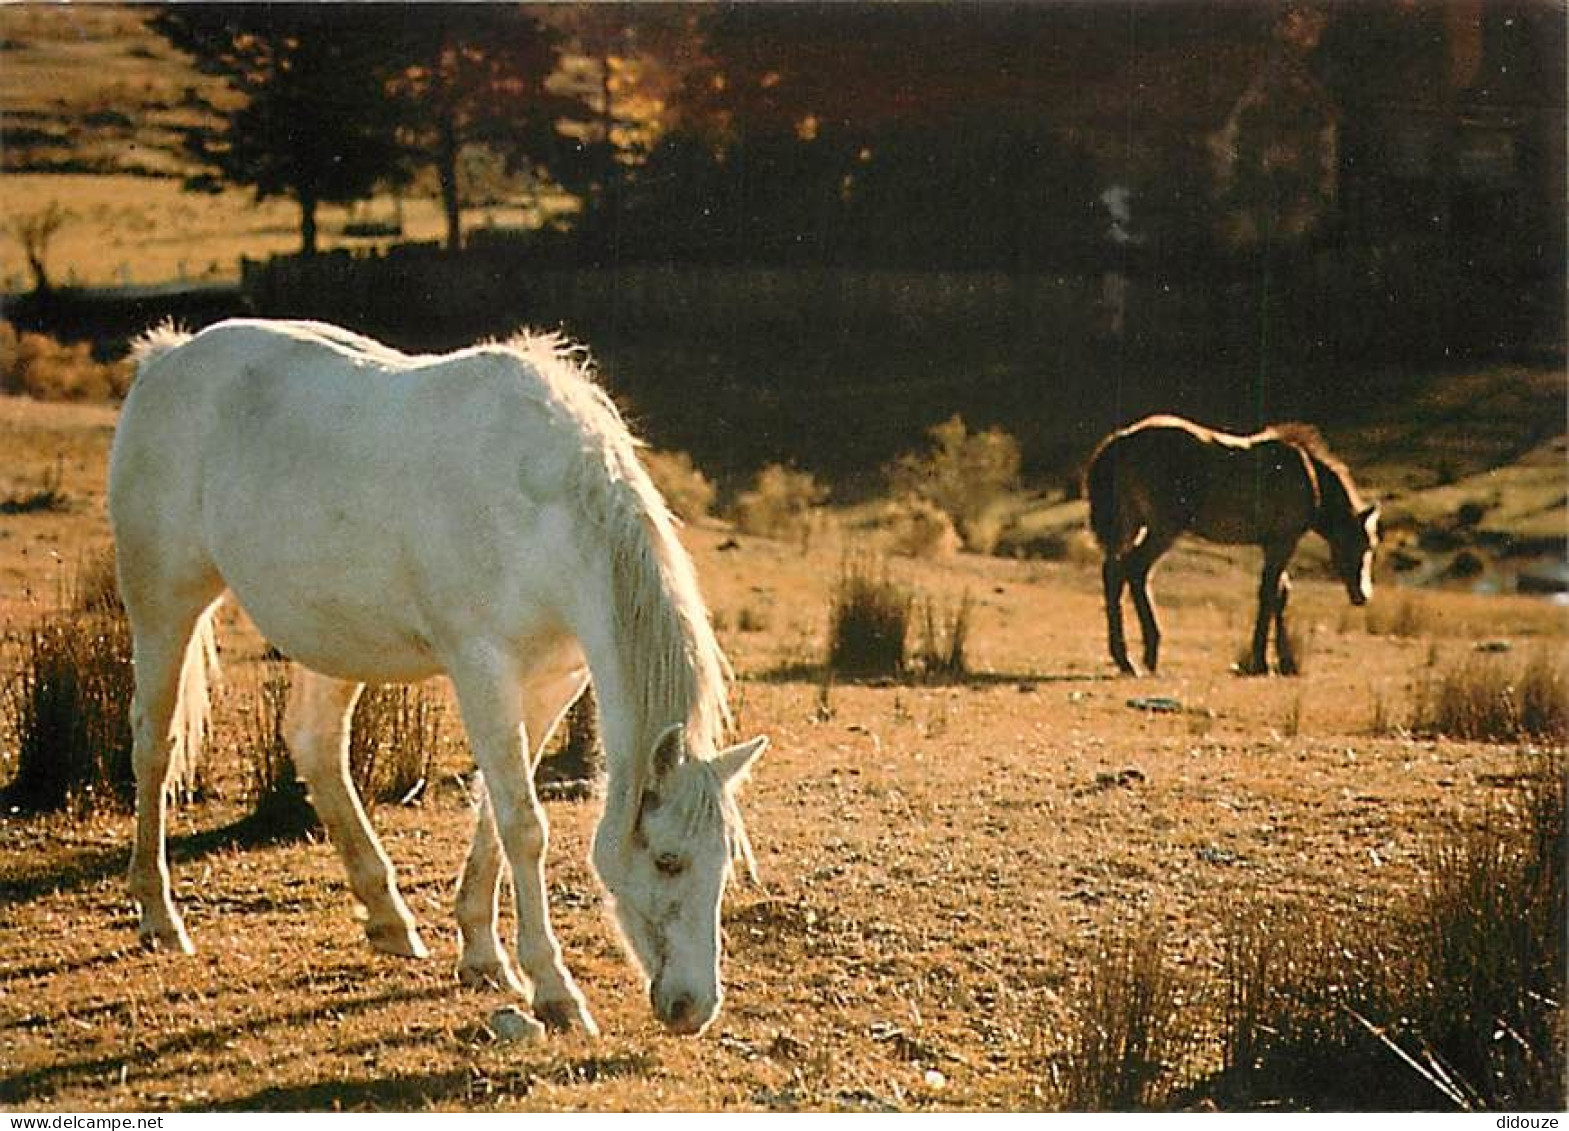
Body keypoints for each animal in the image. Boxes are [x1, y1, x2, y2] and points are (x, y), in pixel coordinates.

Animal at [107, 315, 768, 1035]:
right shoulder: (481, 670)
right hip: (165, 605)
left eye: (726, 861)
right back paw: (158, 915)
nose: (693, 1007)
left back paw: (389, 918)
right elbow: (523, 825)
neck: (544, 511)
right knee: (154, 745)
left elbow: (495, 816)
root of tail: (168, 357)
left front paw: (482, 954)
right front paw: (554, 990)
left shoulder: (548, 686)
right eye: (669, 859)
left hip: (336, 639)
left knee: (315, 744)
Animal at [1085, 417, 1380, 674]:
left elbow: (1280, 594)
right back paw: (1148, 655)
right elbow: (1269, 594)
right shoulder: (1283, 541)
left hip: (1131, 524)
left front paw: (1285, 661)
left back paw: (1125, 659)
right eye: (1364, 545)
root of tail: (1124, 439)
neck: (1311, 478)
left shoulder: (1273, 544)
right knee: (1135, 570)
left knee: (1114, 574)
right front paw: (1261, 662)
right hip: (1162, 528)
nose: (1362, 596)